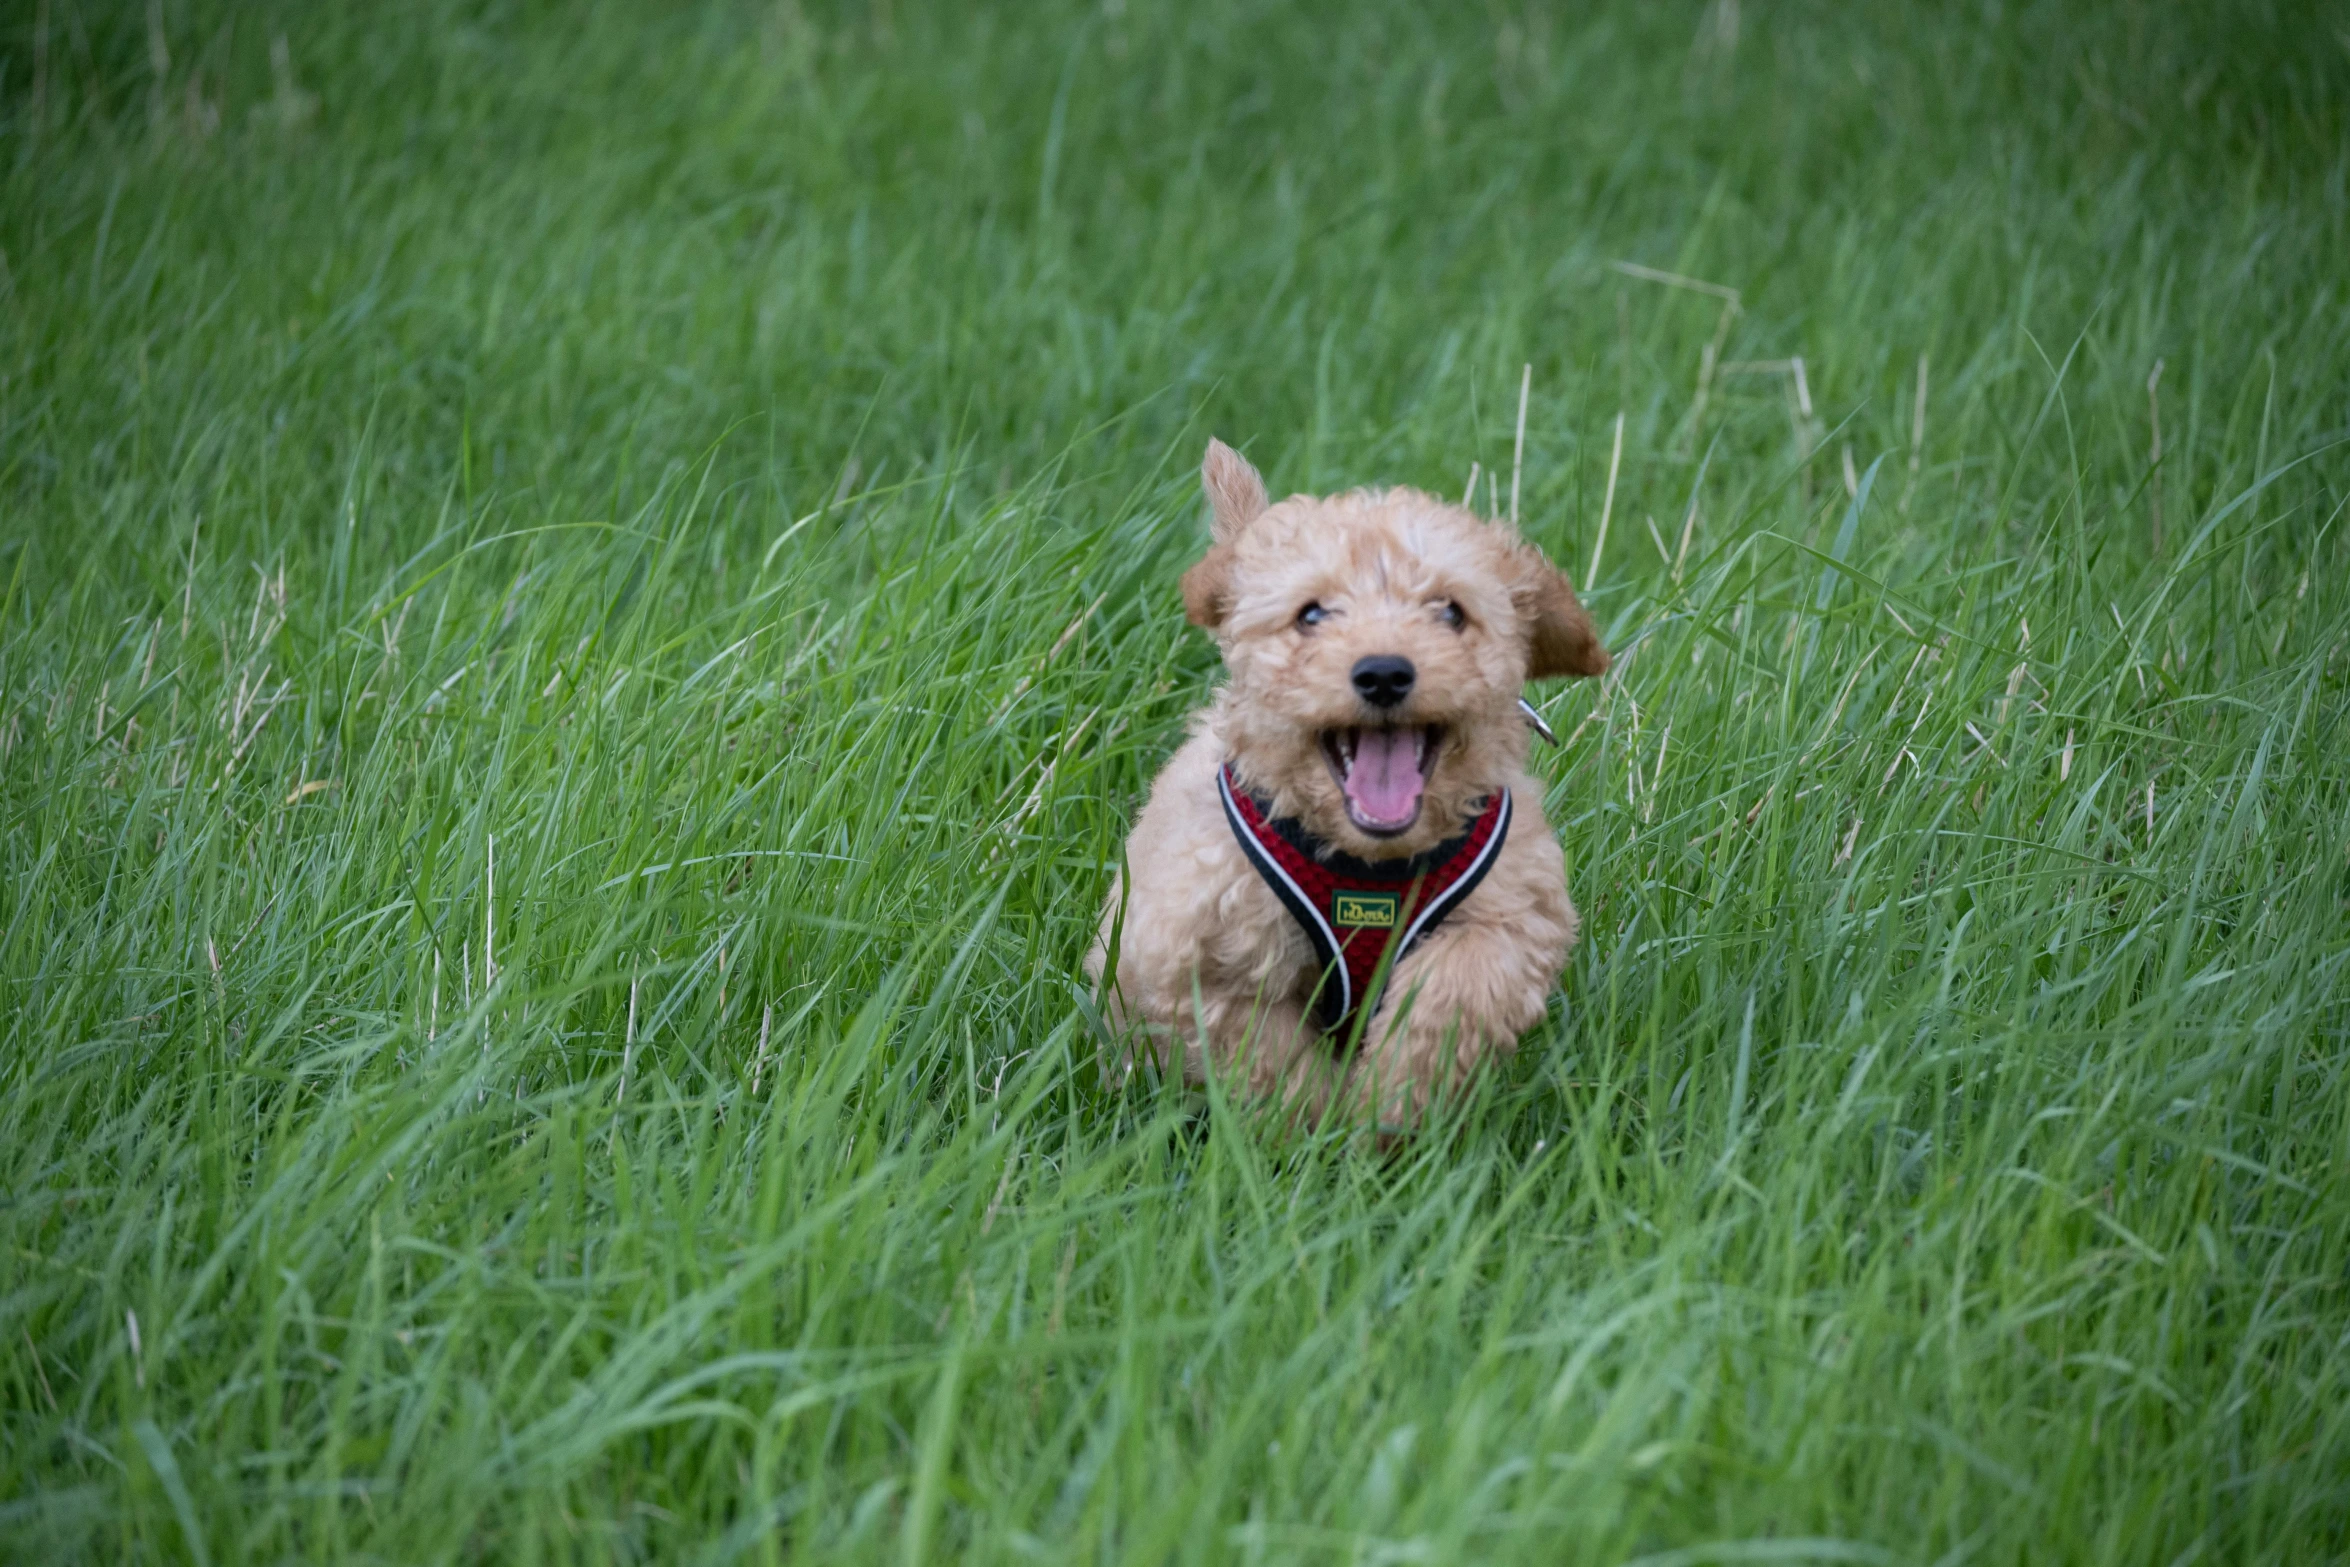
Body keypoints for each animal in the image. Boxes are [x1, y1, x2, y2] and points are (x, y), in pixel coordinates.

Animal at [1085, 439, 1607, 1127]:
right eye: (1311, 614)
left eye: (1450, 612)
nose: (1384, 672)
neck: (1369, 863)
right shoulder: (1198, 952)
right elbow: (1269, 1057)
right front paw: (1322, 1126)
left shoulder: (1510, 913)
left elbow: (1456, 992)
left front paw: (1393, 1103)